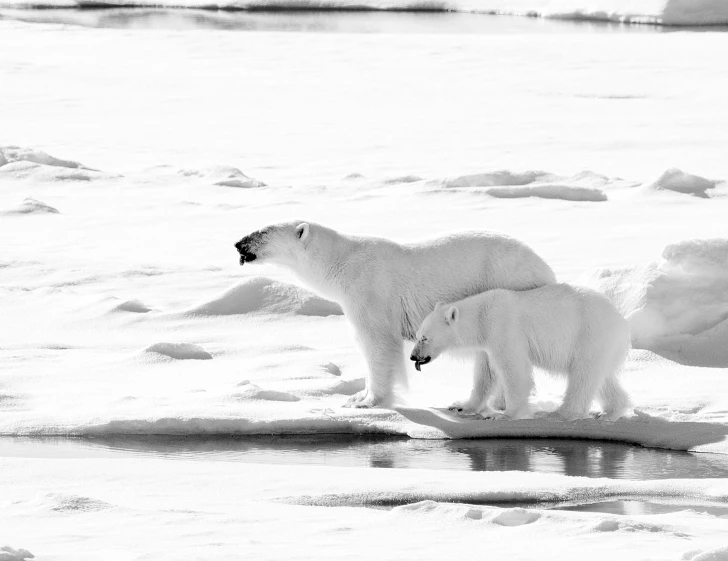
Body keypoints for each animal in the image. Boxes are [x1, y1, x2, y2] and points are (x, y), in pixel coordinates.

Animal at [236, 221, 556, 410]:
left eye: (262, 232)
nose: (238, 243)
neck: (343, 262)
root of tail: (545, 269)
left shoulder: (370, 291)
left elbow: (377, 342)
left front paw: (368, 402)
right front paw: (356, 395)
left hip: (503, 284)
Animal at [410, 284, 632, 420]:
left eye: (424, 338)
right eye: (418, 334)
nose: (413, 356)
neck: (482, 317)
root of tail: (622, 322)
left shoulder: (503, 329)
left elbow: (513, 370)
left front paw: (503, 414)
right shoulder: (488, 341)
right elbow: (486, 374)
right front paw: (461, 406)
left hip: (589, 335)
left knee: (582, 376)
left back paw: (558, 414)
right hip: (604, 346)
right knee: (603, 378)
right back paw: (609, 412)